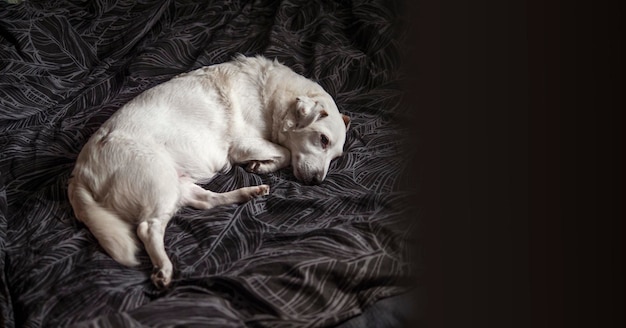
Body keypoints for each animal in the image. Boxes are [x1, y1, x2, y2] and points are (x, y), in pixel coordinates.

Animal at [69, 55, 352, 288]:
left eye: (336, 157)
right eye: (323, 139)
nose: (316, 182)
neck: (270, 97)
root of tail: (78, 174)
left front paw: (261, 166)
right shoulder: (243, 144)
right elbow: (285, 153)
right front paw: (264, 164)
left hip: (178, 184)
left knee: (206, 202)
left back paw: (249, 193)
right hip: (160, 182)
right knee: (148, 228)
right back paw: (164, 268)